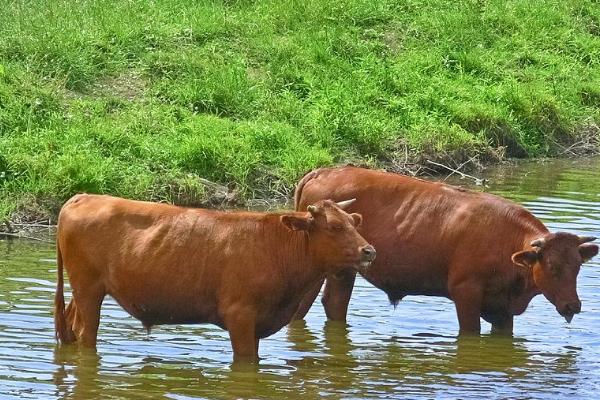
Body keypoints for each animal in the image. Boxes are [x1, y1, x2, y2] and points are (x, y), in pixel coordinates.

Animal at [55, 194, 376, 362]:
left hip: (84, 290)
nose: (369, 251)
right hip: (88, 288)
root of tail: (84, 196)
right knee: (86, 333)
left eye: (353, 222)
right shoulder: (240, 316)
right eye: (334, 227)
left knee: (70, 324)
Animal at [290, 166, 596, 334]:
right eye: (552, 266)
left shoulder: (502, 310)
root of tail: (324, 171)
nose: (573, 305)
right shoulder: (465, 293)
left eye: (577, 267)